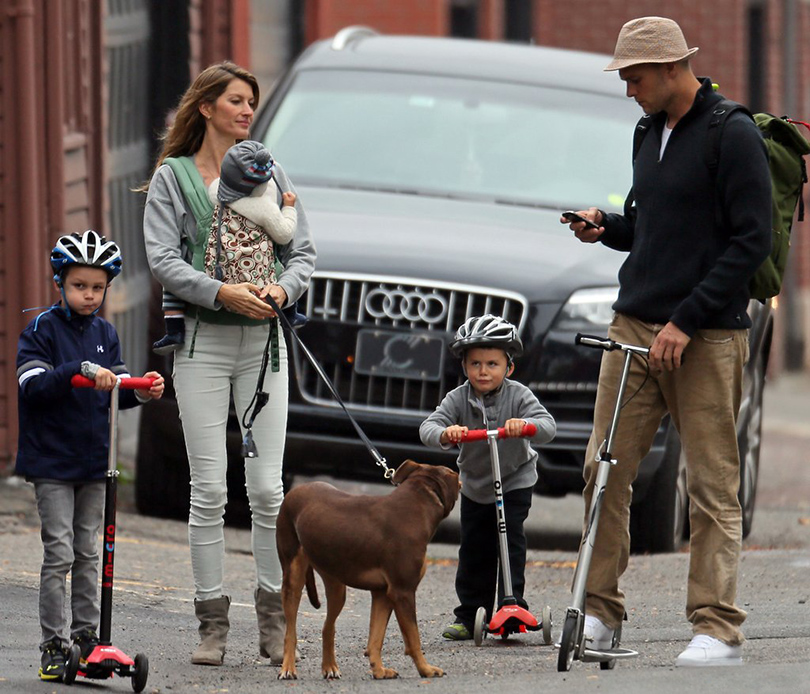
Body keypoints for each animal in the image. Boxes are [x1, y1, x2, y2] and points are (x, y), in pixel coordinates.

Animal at [274, 460, 458, 684]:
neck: (416, 504)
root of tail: (293, 492)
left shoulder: (382, 593)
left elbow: (375, 639)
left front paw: (379, 671)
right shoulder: (403, 591)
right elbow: (414, 639)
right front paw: (426, 669)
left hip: (336, 583)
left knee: (328, 627)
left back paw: (330, 667)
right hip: (293, 576)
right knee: (290, 630)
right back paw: (288, 668)